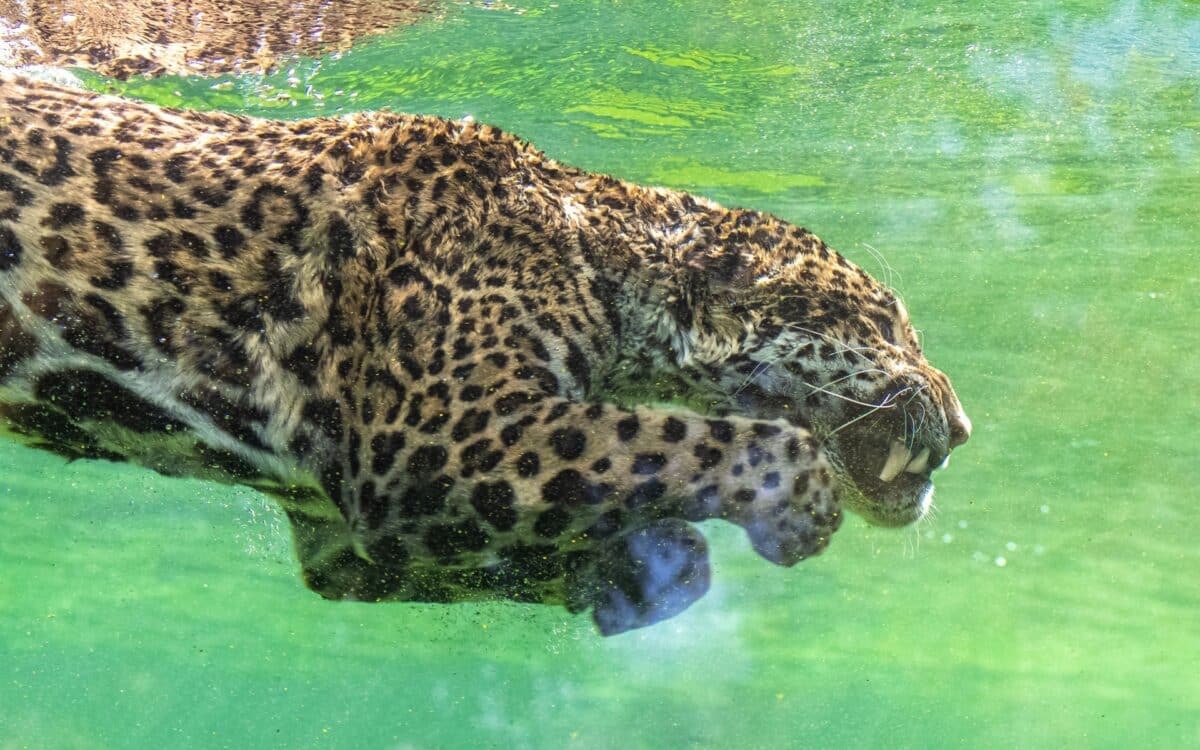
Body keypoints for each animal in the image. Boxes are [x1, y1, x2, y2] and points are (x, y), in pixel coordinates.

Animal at [0, 74, 971, 635]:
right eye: (889, 325)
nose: (962, 427)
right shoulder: (441, 435)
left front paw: (645, 568)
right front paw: (791, 503)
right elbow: (678, 436)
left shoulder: (345, 540)